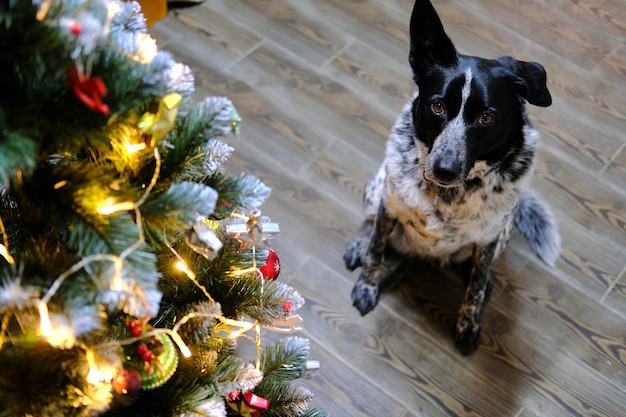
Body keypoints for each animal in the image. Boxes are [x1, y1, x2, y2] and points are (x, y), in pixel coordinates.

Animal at [344, 0, 560, 354]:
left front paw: (468, 324)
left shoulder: (488, 239)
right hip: (376, 188)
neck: (446, 195)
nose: (443, 169)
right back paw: (359, 245)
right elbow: (376, 250)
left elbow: (475, 288)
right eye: (437, 107)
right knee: (372, 226)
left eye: (486, 118)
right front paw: (366, 285)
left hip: (503, 233)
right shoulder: (389, 204)